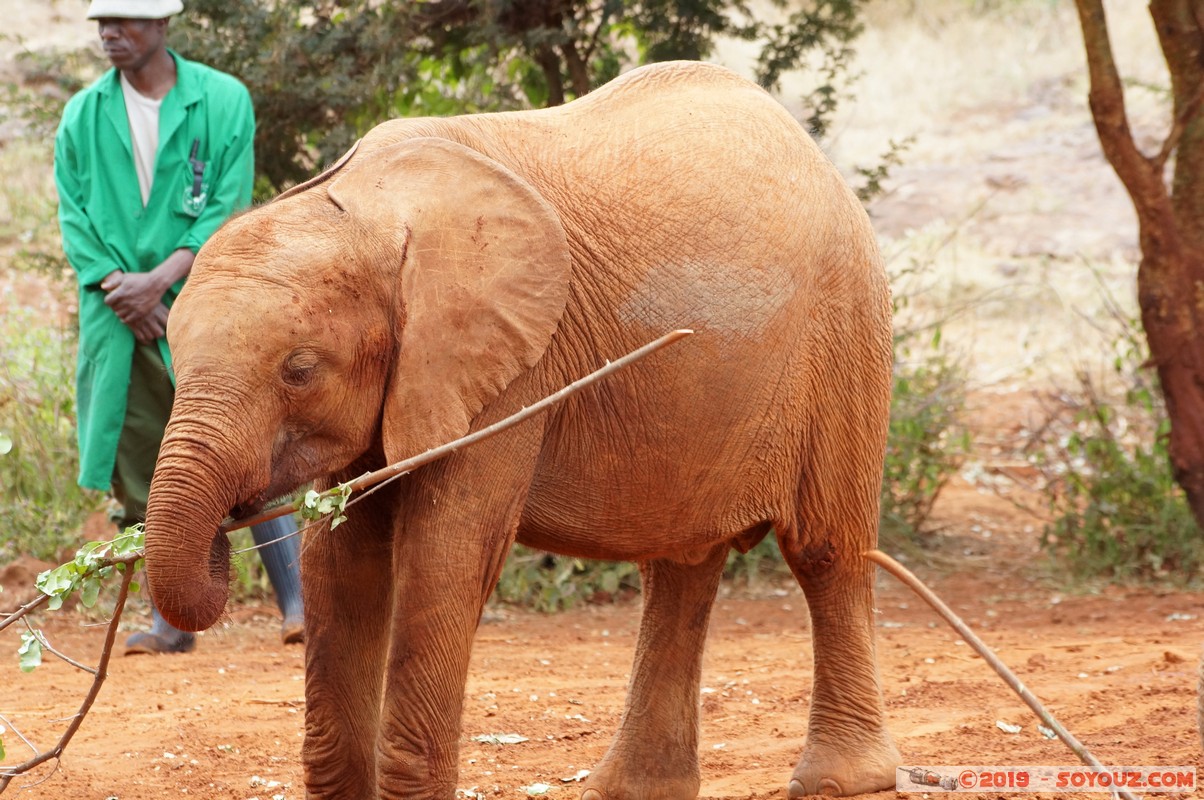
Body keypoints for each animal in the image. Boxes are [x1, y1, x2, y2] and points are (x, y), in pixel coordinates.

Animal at [140, 62, 900, 800]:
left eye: (299, 370)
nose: (229, 523)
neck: (364, 204)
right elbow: (339, 565)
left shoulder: (511, 371)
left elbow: (447, 552)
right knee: (680, 566)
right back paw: (630, 788)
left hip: (845, 328)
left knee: (826, 550)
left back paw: (839, 781)